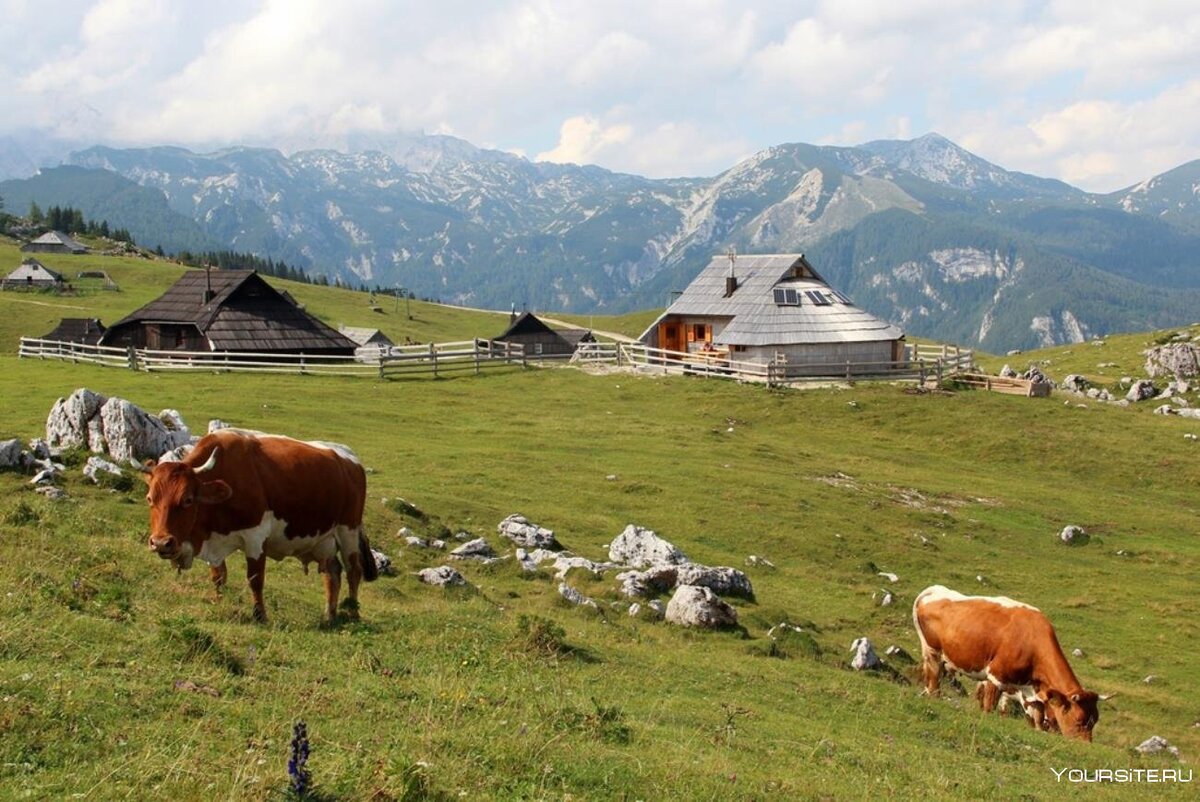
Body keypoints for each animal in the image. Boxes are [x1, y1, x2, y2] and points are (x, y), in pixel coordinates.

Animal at [145, 429, 379, 624]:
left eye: (187, 500)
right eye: (150, 498)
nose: (161, 543)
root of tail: (350, 458)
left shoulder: (255, 537)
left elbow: (255, 579)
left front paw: (260, 615)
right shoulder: (214, 539)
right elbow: (218, 575)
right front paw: (218, 602)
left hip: (348, 531)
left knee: (353, 571)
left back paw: (353, 612)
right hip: (324, 541)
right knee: (333, 573)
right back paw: (329, 615)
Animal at [912, 585, 1099, 744]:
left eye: (1095, 720)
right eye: (1079, 720)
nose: (1085, 745)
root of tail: (933, 590)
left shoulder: (1032, 695)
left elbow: (1037, 720)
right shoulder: (996, 676)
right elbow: (989, 707)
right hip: (932, 650)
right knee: (933, 679)